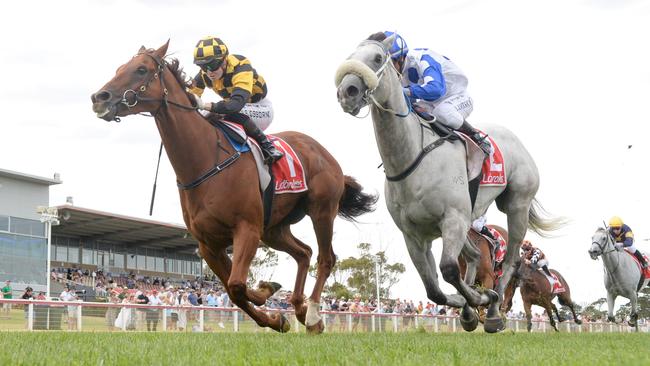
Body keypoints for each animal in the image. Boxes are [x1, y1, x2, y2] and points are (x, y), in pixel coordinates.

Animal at [90, 41, 374, 334]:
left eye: (141, 69)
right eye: (119, 68)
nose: (99, 97)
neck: (205, 160)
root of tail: (324, 152)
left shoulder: (247, 230)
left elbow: (237, 285)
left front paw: (268, 296)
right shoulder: (209, 244)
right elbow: (232, 288)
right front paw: (274, 312)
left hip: (322, 210)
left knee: (325, 258)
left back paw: (314, 315)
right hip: (274, 229)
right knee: (304, 253)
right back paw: (299, 307)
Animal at [334, 35, 560, 334]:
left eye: (377, 58)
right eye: (350, 56)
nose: (347, 91)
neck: (411, 158)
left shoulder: (452, 218)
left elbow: (450, 270)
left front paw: (482, 299)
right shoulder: (415, 234)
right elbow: (434, 289)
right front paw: (466, 307)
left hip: (515, 205)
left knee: (510, 261)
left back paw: (493, 313)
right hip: (467, 220)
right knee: (473, 257)